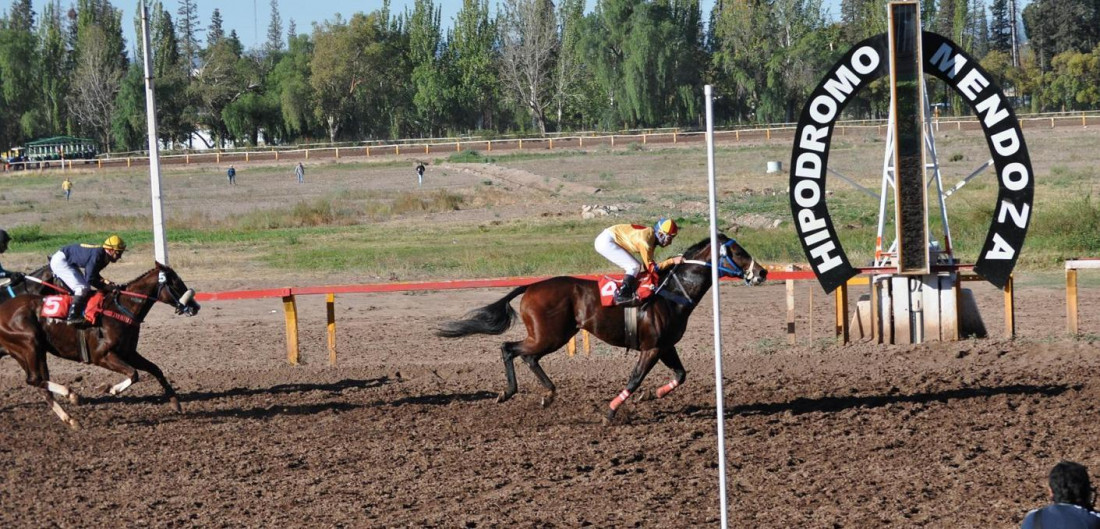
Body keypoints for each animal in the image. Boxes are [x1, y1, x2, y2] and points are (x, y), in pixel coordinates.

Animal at [0, 261, 200, 426]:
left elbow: (155, 369)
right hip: (29, 344)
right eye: (175, 283)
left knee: (39, 383)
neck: (121, 310)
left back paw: (70, 419)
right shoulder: (101, 355)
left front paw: (176, 403)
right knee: (34, 379)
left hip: (32, 352)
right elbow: (133, 374)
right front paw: (111, 388)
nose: (196, 306)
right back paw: (72, 395)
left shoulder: (129, 353)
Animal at [435, 233, 765, 417]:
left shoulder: (665, 346)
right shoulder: (652, 347)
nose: (761, 272)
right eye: (738, 252)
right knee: (510, 349)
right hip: (549, 335)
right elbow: (634, 379)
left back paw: (546, 393)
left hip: (552, 335)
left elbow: (681, 375)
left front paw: (654, 394)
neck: (672, 292)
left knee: (526, 356)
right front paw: (610, 410)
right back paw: (512, 392)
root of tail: (531, 286)